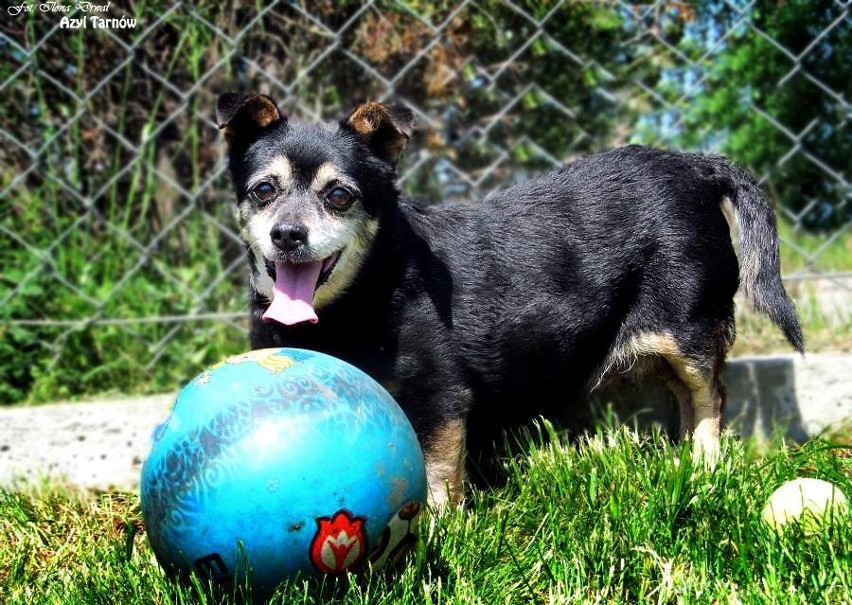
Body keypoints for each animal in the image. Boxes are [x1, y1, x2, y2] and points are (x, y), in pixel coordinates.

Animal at [216, 92, 804, 502]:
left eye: (339, 195)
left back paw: (705, 466)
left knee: (710, 398)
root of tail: (695, 164)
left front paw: (439, 536)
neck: (361, 295)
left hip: (690, 329)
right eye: (264, 190)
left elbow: (436, 478)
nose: (287, 235)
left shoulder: (439, 398)